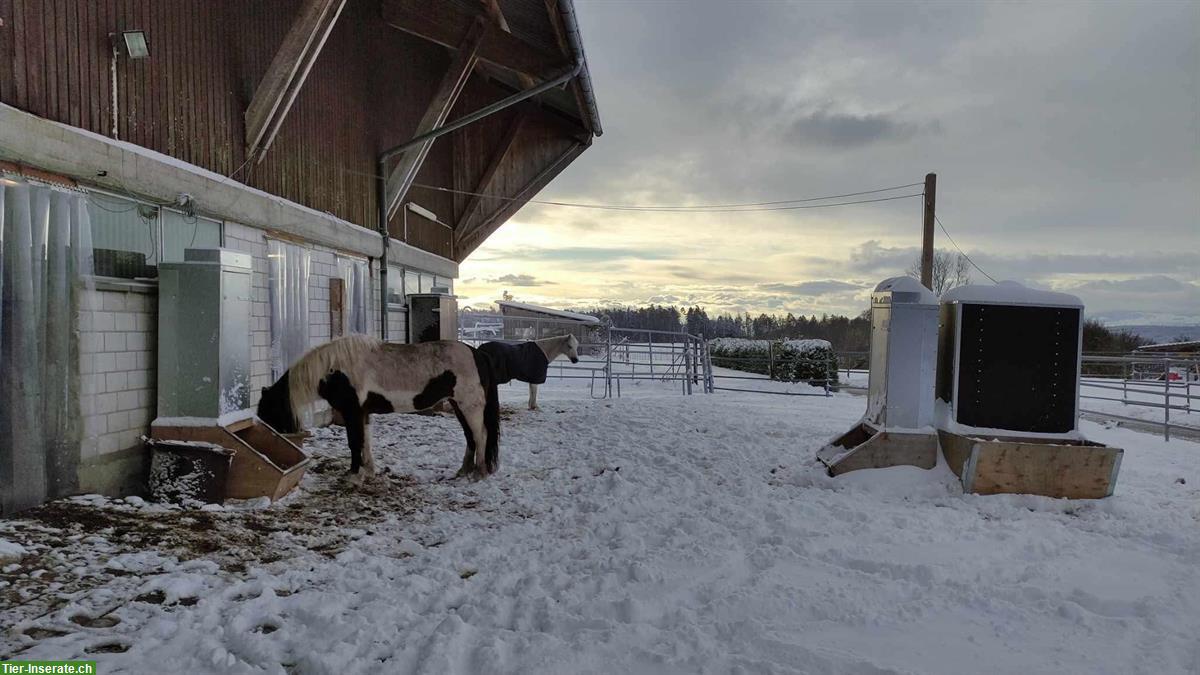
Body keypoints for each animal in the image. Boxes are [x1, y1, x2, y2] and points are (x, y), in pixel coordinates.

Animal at [255, 333, 499, 480]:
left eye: (268, 409)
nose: (270, 441)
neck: (334, 370)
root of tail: (477, 353)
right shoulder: (363, 413)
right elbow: (366, 441)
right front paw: (369, 471)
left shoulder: (352, 412)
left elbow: (355, 442)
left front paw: (353, 475)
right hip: (458, 405)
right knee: (471, 437)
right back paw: (464, 470)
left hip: (470, 406)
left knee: (481, 435)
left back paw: (479, 472)